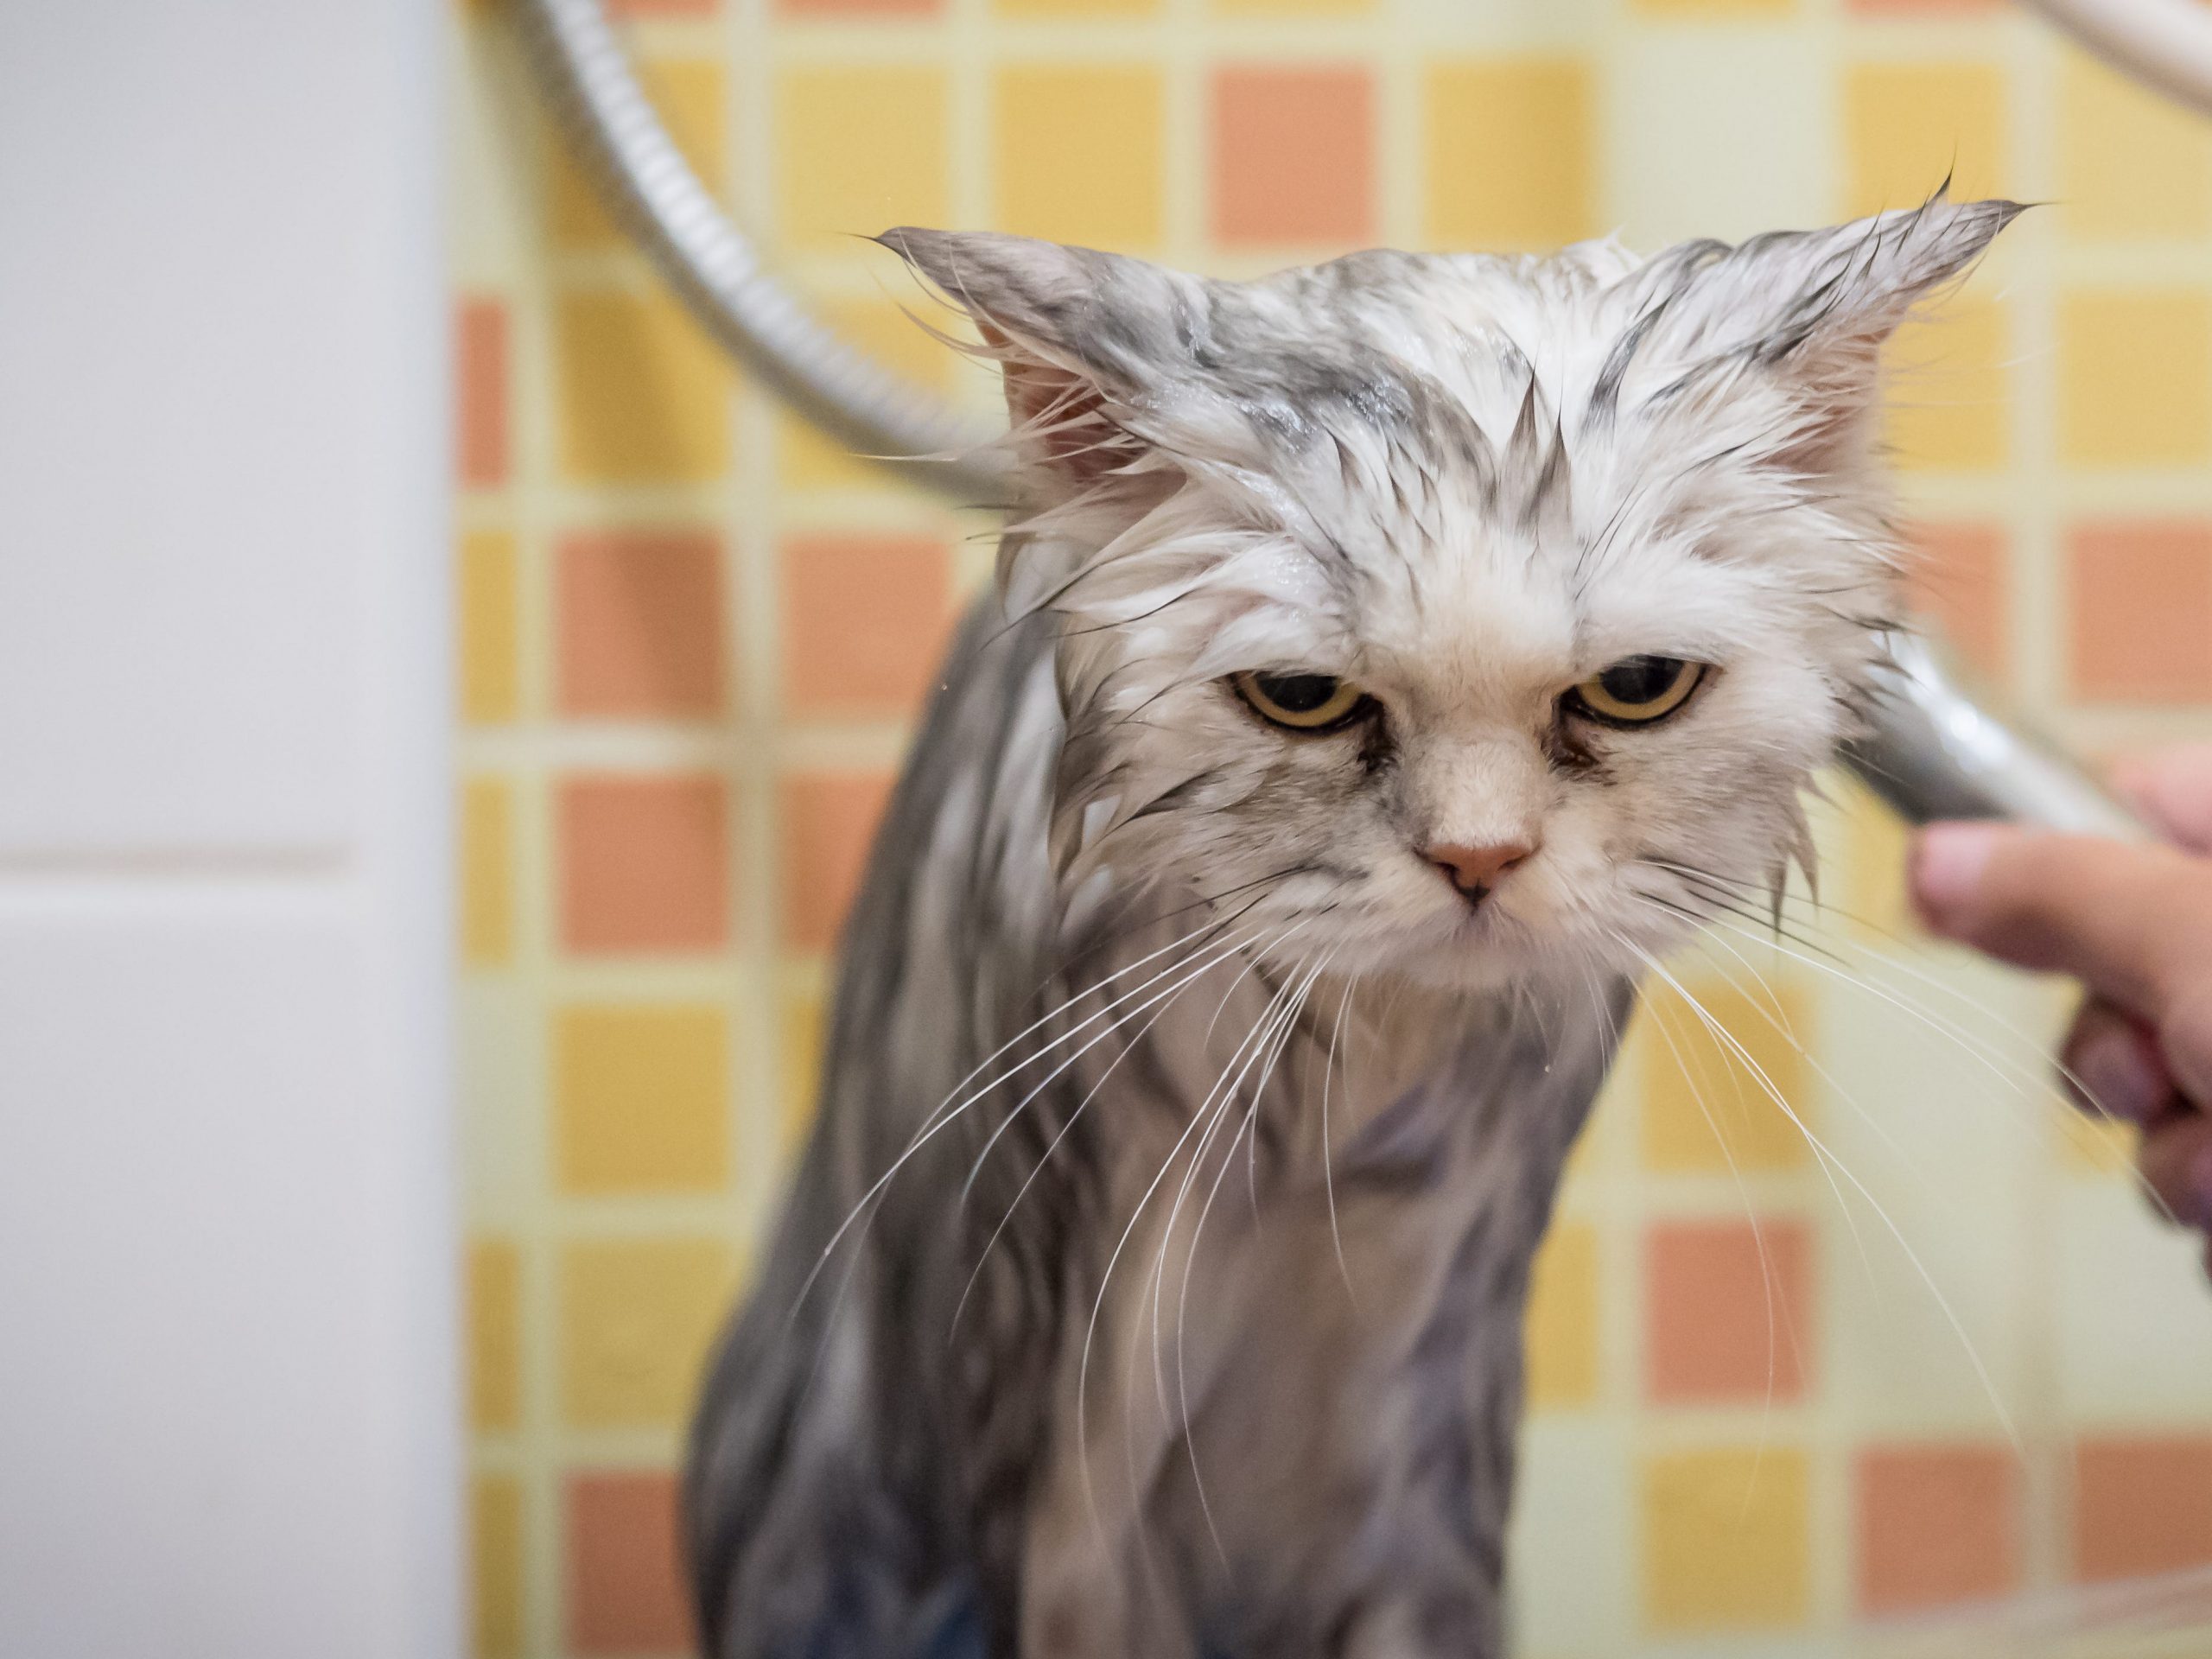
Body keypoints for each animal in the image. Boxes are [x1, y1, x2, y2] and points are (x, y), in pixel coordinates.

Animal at [685, 198, 2025, 1659]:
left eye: (1636, 687)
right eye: (1302, 699)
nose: (1478, 857)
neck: (1350, 1128)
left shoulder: (1422, 1430)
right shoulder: (1061, 1460)